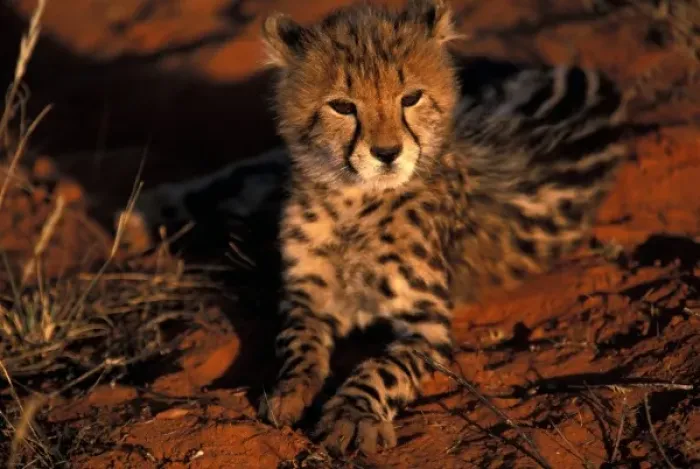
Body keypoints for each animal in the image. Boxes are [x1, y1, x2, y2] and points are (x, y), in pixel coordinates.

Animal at [119, 0, 630, 457]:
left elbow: (383, 367)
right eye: (342, 107)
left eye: (411, 98)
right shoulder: (307, 296)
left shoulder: (428, 325)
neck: (354, 202)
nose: (387, 153)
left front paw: (353, 417)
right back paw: (140, 215)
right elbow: (297, 342)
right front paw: (291, 390)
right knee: (248, 173)